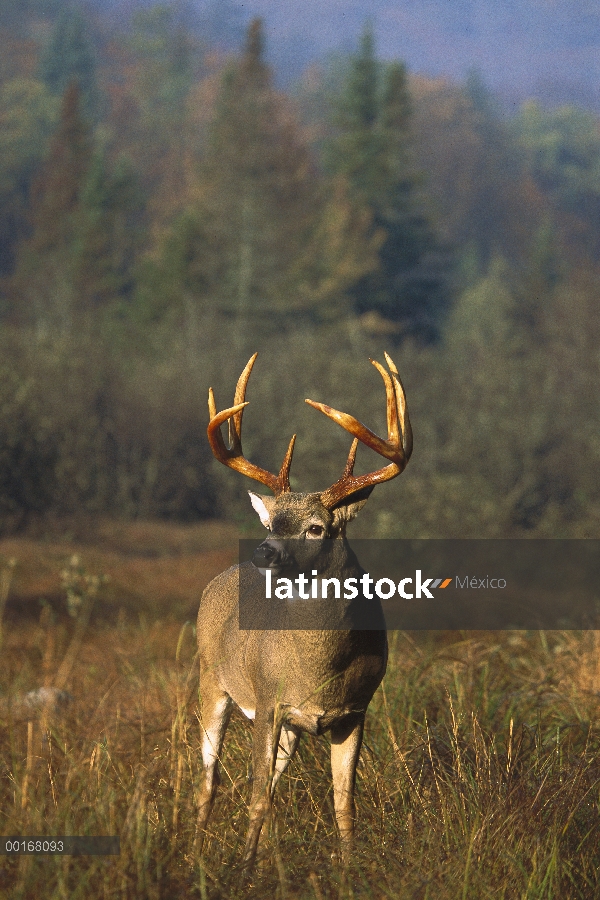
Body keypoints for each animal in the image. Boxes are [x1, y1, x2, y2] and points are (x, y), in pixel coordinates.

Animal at [197, 354, 412, 872]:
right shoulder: (269, 700)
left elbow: (343, 803)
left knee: (271, 781)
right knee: (209, 779)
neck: (320, 667)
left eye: (316, 527)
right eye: (273, 522)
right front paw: (244, 871)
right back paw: (194, 849)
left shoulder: (356, 709)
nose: (264, 551)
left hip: (289, 728)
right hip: (211, 679)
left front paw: (350, 871)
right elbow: (256, 796)